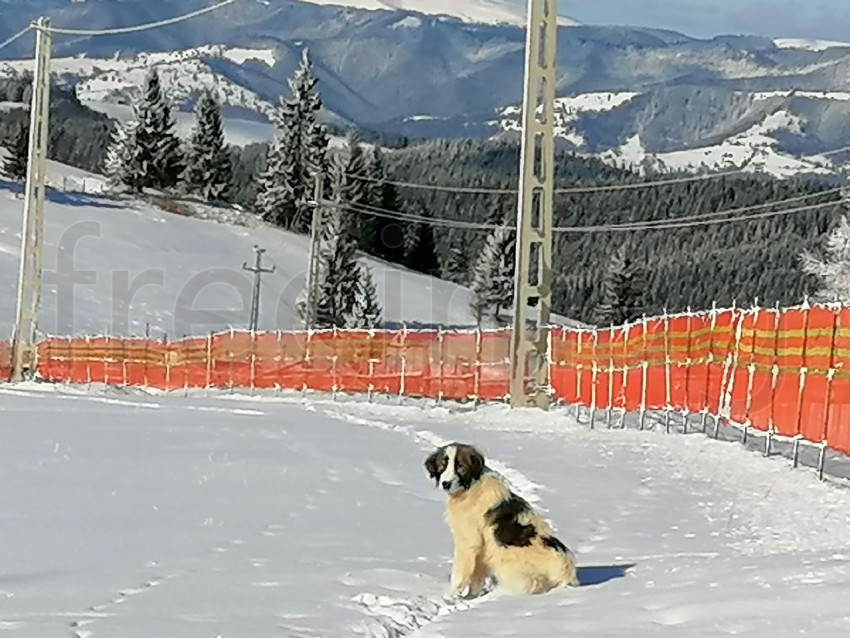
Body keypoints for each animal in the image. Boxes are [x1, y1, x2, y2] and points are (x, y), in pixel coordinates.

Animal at [422, 442, 580, 596]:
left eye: (460, 466)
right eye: (443, 465)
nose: (446, 484)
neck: (470, 487)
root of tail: (568, 575)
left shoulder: (468, 541)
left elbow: (460, 572)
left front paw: (452, 595)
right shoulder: (482, 549)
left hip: (510, 569)